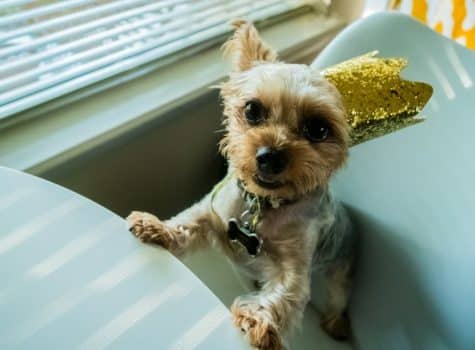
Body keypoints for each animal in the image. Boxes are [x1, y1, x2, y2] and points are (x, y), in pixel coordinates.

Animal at [127, 19, 356, 350]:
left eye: (318, 129)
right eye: (252, 110)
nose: (270, 156)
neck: (262, 204)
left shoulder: (295, 264)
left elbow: (286, 294)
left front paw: (258, 321)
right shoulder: (213, 211)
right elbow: (187, 221)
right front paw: (156, 227)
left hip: (342, 267)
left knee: (339, 297)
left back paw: (336, 323)